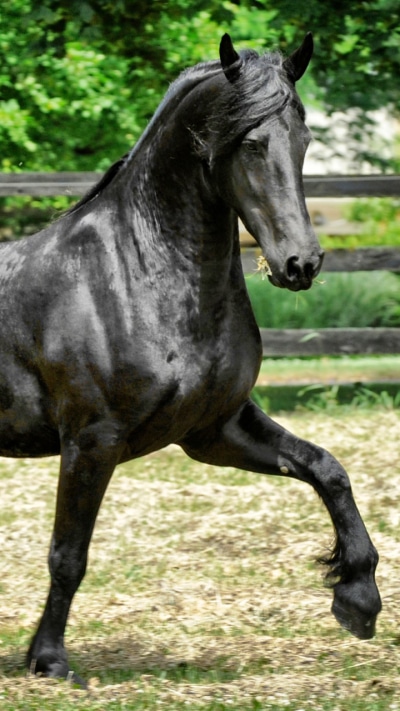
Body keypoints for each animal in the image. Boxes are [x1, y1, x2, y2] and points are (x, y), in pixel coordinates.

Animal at [0, 33, 381, 686]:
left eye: (303, 140)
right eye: (250, 142)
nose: (300, 264)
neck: (134, 276)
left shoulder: (212, 430)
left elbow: (327, 469)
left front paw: (359, 599)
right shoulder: (92, 439)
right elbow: (68, 554)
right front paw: (48, 659)